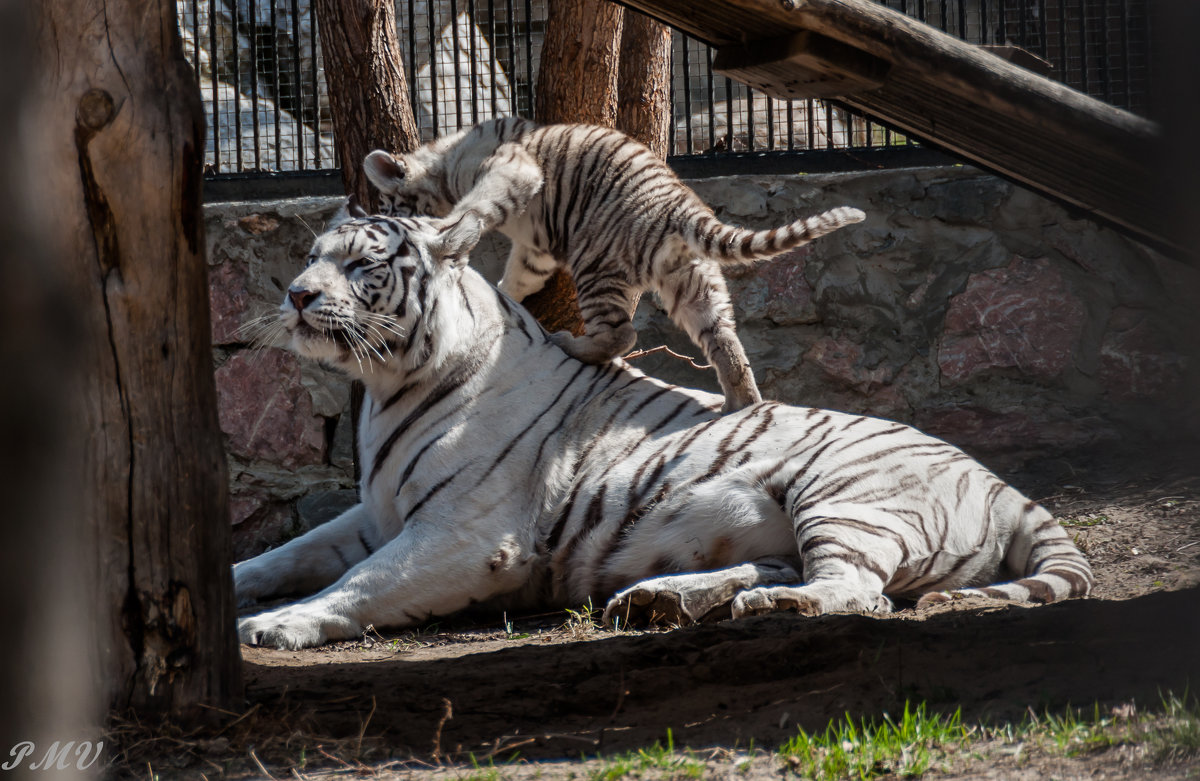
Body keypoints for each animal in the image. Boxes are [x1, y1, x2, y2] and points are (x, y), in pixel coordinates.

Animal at [229, 211, 1094, 652]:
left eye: (362, 265)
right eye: (312, 254)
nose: (297, 294)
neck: (386, 384)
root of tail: (1001, 481)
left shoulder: (464, 535)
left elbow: (357, 583)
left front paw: (275, 624)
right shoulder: (375, 513)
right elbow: (288, 553)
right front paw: (236, 581)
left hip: (844, 496)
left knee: (859, 592)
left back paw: (756, 607)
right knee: (791, 568)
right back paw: (660, 599)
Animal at [360, 117, 868, 415]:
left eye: (388, 205)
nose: (381, 217)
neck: (447, 161)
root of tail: (682, 206)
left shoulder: (511, 172)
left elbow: (478, 206)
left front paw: (443, 229)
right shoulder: (536, 250)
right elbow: (519, 275)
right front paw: (504, 292)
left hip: (596, 264)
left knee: (622, 334)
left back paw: (571, 344)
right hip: (694, 281)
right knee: (724, 339)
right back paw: (740, 403)